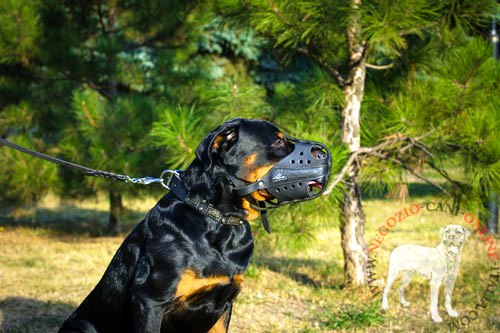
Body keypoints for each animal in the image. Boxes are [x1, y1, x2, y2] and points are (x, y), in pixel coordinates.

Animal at [60, 118, 330, 330]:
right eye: (277, 142)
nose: (324, 154)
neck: (218, 219)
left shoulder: (224, 305)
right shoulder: (150, 301)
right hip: (82, 326)